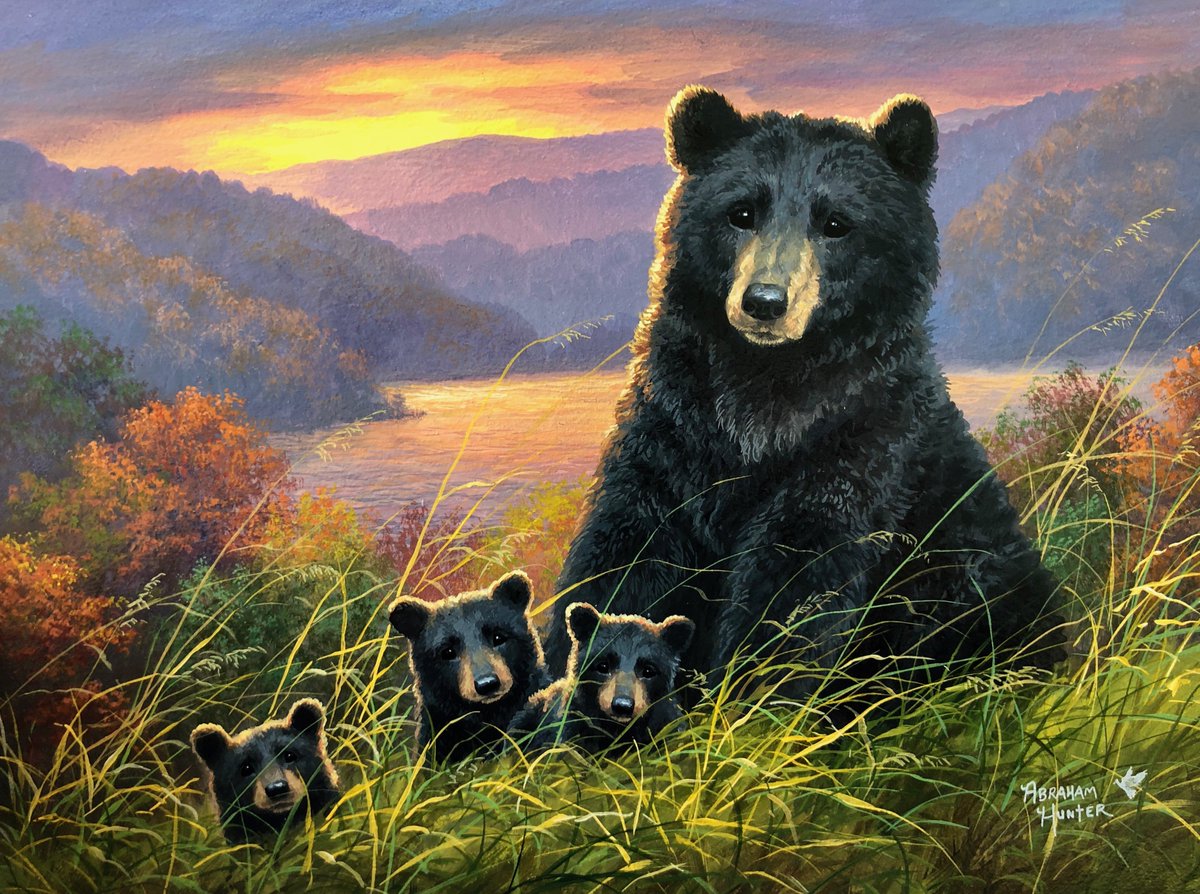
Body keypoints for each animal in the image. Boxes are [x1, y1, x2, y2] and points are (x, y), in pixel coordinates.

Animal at [543, 85, 1064, 703]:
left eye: (836, 222)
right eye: (742, 212)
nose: (765, 301)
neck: (767, 384)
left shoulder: (858, 438)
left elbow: (794, 578)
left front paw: (748, 701)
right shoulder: (674, 428)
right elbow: (625, 551)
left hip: (971, 581)